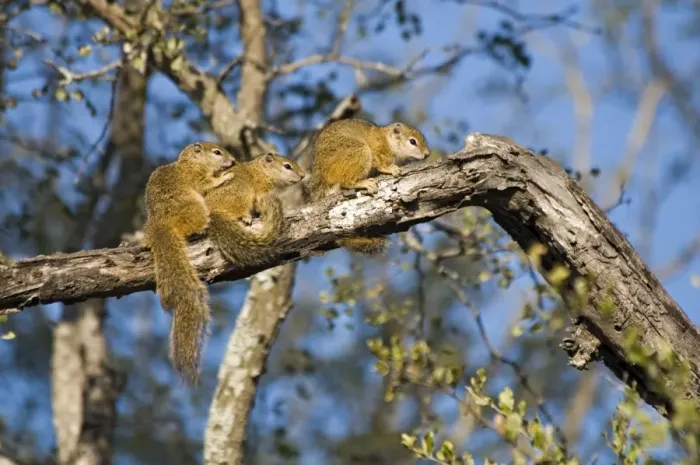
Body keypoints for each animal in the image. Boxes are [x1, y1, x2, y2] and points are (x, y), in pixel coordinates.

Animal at [143, 141, 237, 384]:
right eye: (217, 152)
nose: (233, 161)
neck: (190, 163)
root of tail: (160, 225)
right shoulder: (195, 178)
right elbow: (207, 184)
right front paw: (225, 176)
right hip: (196, 209)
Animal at [305, 118, 430, 255]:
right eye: (412, 141)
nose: (427, 154)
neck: (388, 140)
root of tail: (321, 174)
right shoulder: (377, 148)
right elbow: (379, 163)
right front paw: (390, 169)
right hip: (358, 151)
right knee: (346, 181)